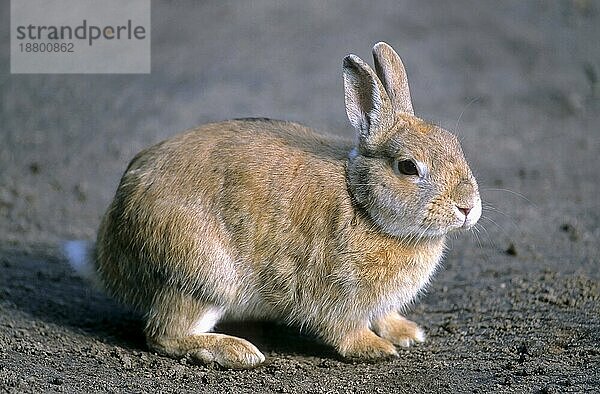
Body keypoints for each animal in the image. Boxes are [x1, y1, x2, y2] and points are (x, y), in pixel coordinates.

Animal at [63, 43, 480, 370]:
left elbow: (384, 315)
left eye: (455, 144)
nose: (468, 208)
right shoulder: (337, 292)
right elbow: (344, 329)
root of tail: (109, 255)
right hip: (202, 277)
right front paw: (376, 348)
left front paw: (407, 333)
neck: (364, 203)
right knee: (163, 334)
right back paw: (237, 352)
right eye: (408, 167)